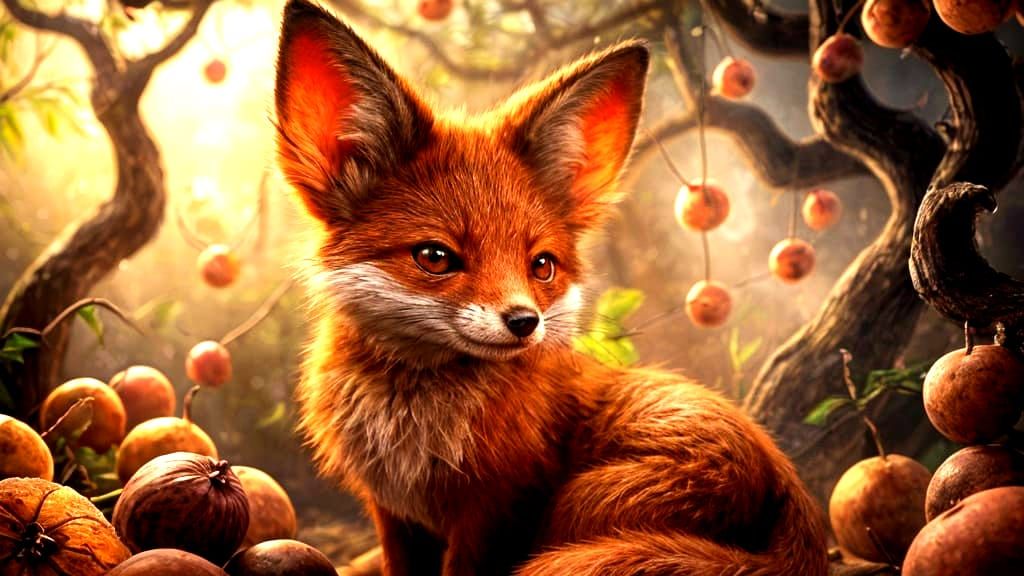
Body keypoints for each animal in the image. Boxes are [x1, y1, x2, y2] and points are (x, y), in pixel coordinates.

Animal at [274, 1, 829, 574]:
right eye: (435, 257)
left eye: (542, 265)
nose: (524, 322)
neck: (413, 431)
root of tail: (784, 481)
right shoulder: (395, 514)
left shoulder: (496, 510)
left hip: (579, 505)